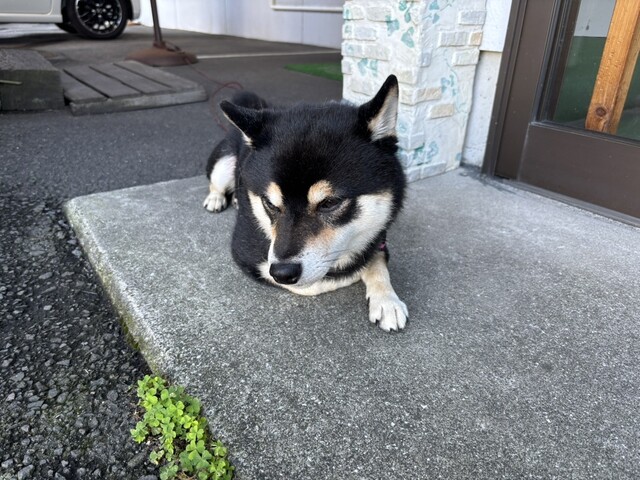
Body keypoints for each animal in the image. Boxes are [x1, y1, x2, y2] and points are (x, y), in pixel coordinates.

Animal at [203, 75, 408, 332]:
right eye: (270, 204)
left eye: (329, 203)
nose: (282, 272)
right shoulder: (248, 254)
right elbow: (318, 283)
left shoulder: (379, 236)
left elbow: (376, 259)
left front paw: (387, 299)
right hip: (223, 164)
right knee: (216, 182)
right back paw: (217, 198)